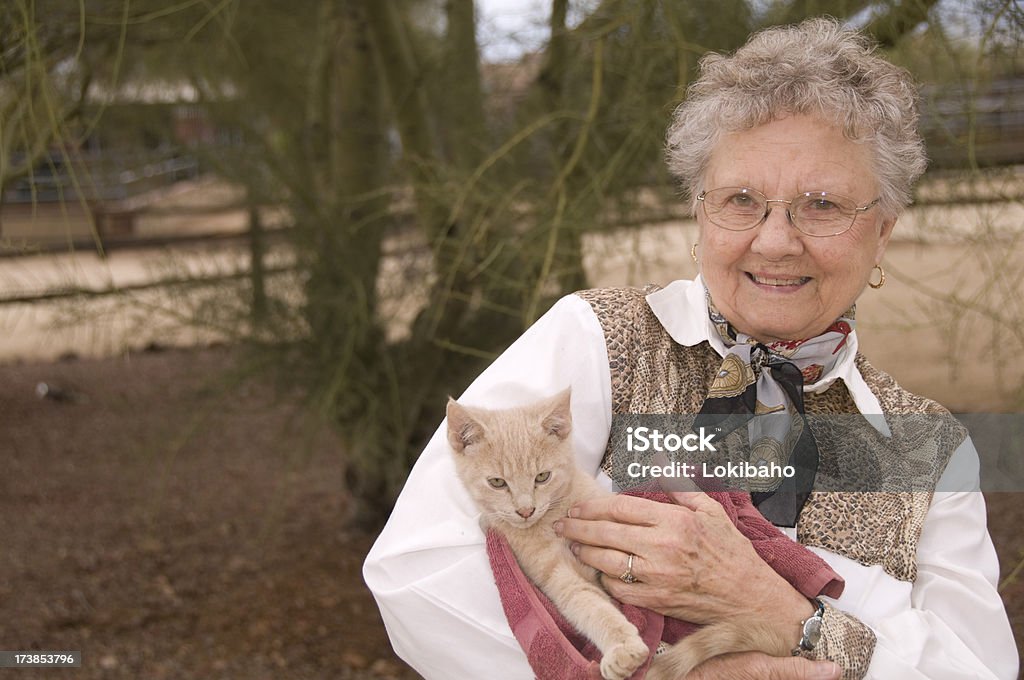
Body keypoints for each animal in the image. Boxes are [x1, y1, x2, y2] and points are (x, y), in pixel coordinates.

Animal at [444, 387, 786, 680]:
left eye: (542, 477)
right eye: (497, 483)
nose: (525, 510)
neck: (552, 518)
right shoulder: (551, 572)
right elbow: (587, 603)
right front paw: (623, 647)